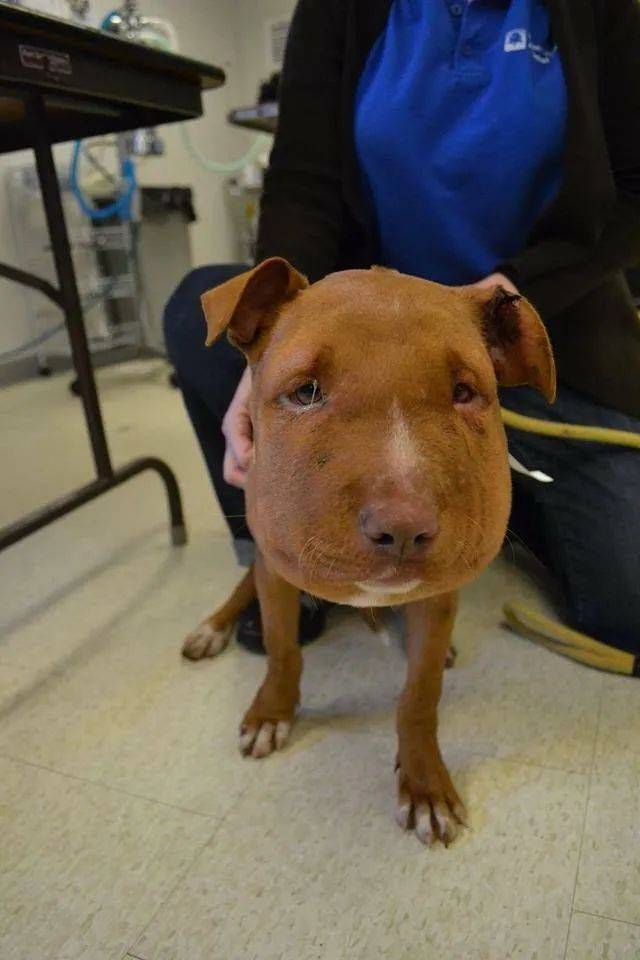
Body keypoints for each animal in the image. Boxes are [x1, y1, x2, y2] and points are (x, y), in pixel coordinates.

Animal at [182, 257, 556, 846]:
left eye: (464, 391)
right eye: (306, 391)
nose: (403, 530)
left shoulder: (439, 597)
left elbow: (419, 696)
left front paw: (425, 785)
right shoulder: (277, 569)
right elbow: (282, 648)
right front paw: (271, 712)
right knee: (242, 589)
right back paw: (212, 628)